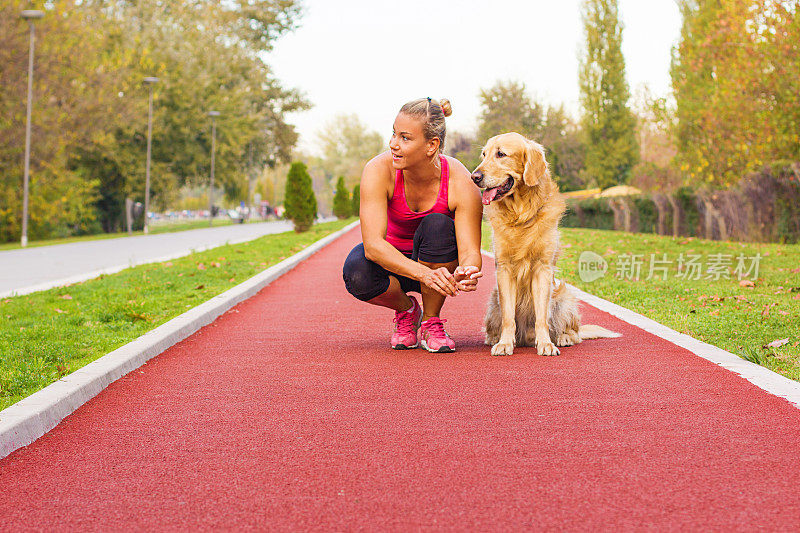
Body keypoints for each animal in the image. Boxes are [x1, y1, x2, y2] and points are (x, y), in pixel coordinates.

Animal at [472, 131, 620, 356]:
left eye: (501, 154)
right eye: (483, 154)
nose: (475, 177)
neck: (521, 214)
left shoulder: (542, 268)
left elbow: (542, 317)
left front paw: (545, 344)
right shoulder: (504, 269)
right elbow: (508, 317)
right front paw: (505, 343)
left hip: (564, 297)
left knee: (573, 331)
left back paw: (563, 338)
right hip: (493, 302)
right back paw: (496, 339)